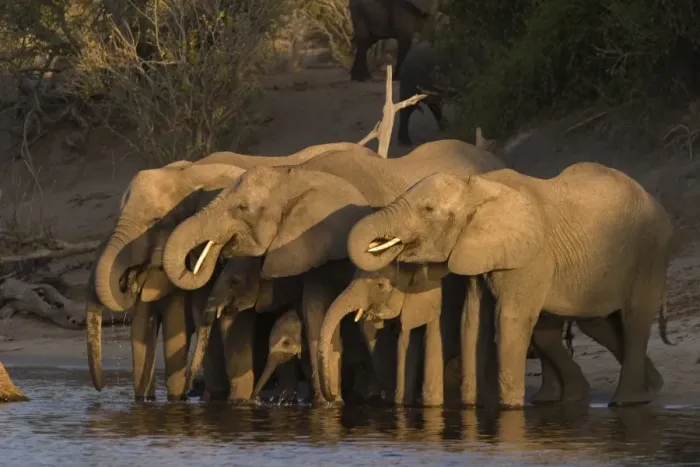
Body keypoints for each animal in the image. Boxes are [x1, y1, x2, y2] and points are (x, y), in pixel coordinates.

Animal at [87, 142, 364, 401]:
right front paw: (147, 401)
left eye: (156, 221)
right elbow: (142, 329)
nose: (101, 387)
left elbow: (186, 323)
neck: (187, 173)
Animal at [162, 139, 504, 404]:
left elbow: (365, 322)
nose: (190, 390)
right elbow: (316, 313)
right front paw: (328, 401)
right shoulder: (312, 248)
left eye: (243, 208)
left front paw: (362, 397)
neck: (299, 174)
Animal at [347, 162, 674, 408]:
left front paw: (509, 410)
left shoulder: (531, 255)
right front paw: (472, 408)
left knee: (634, 319)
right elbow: (472, 322)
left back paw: (626, 402)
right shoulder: (478, 251)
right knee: (598, 324)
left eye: (427, 209)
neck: (477, 187)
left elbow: (509, 319)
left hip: (650, 249)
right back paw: (648, 388)